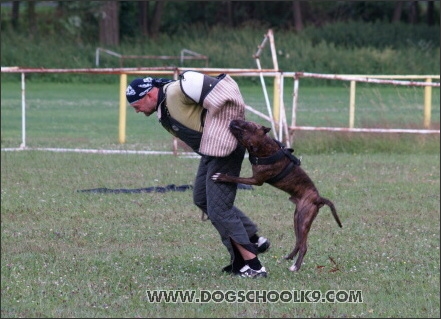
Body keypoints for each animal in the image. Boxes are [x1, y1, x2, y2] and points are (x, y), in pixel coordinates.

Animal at [211, 120, 342, 272]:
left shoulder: (255, 180)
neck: (265, 147)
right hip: (297, 219)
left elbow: (235, 178)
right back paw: (289, 257)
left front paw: (221, 177)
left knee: (303, 246)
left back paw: (295, 267)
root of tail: (318, 199)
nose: (233, 120)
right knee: (298, 242)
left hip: (303, 220)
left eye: (247, 126)